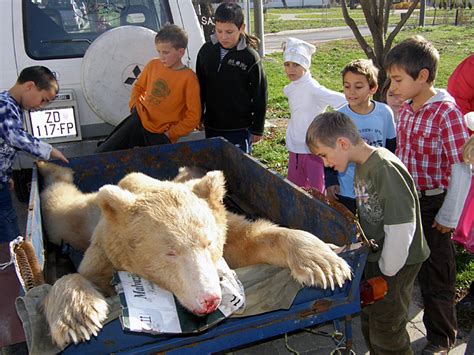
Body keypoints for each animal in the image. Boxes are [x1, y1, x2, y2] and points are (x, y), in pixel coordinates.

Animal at [38, 163, 352, 350]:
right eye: (170, 252)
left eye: (208, 243)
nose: (210, 299)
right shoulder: (106, 251)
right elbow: (82, 277)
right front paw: (78, 317)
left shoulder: (225, 226)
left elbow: (253, 238)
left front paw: (326, 264)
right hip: (80, 216)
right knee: (60, 209)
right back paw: (52, 167)